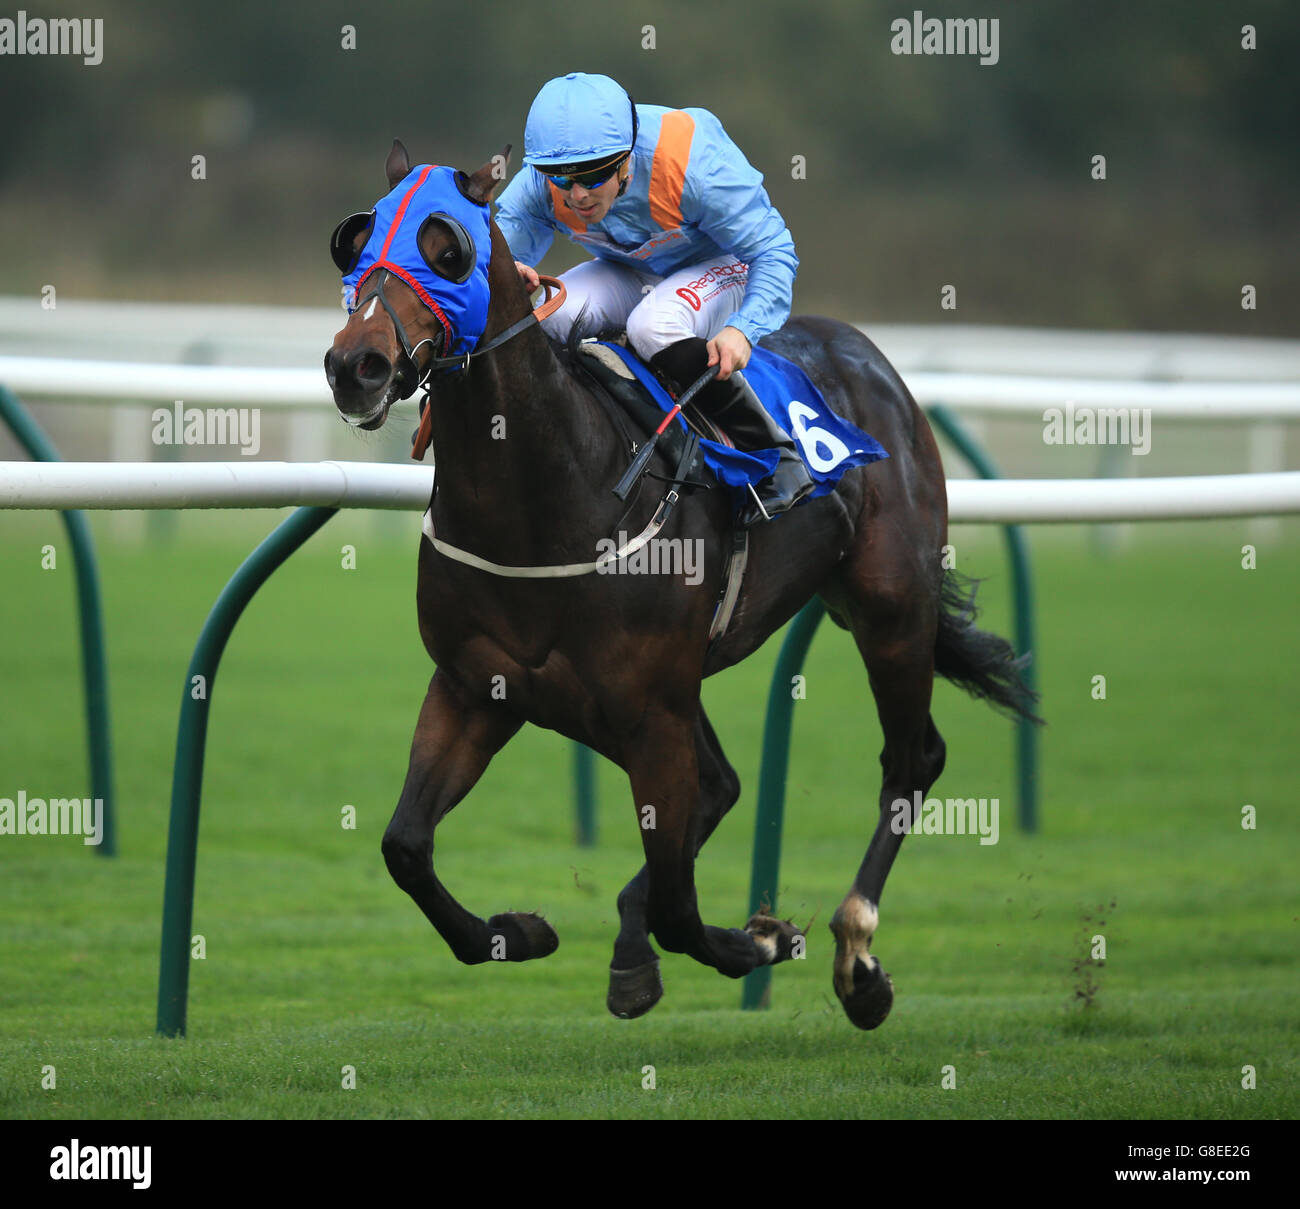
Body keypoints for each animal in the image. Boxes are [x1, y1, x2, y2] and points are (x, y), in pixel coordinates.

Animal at [325, 141, 1034, 1029]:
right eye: (353, 241)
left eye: (447, 247)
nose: (355, 365)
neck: (549, 493)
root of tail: (865, 353)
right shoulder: (477, 687)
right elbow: (406, 846)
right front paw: (516, 931)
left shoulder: (648, 710)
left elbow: (678, 900)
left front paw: (760, 940)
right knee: (722, 786)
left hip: (891, 605)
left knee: (911, 760)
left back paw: (858, 958)